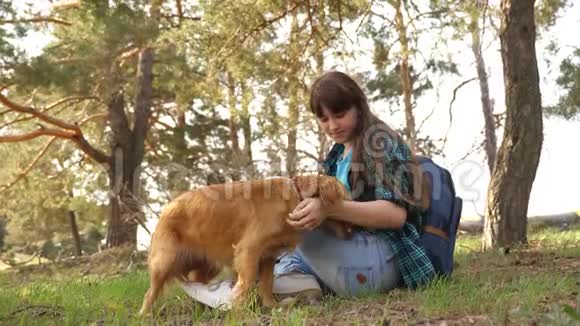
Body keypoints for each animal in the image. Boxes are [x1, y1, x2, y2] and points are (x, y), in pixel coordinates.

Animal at [138, 174, 352, 314]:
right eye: (344, 202)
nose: (354, 230)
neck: (296, 197)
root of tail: (167, 208)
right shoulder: (249, 250)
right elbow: (247, 281)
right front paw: (239, 308)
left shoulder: (268, 256)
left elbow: (266, 283)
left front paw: (271, 306)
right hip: (165, 261)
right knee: (150, 293)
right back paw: (145, 314)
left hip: (206, 266)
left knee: (196, 281)